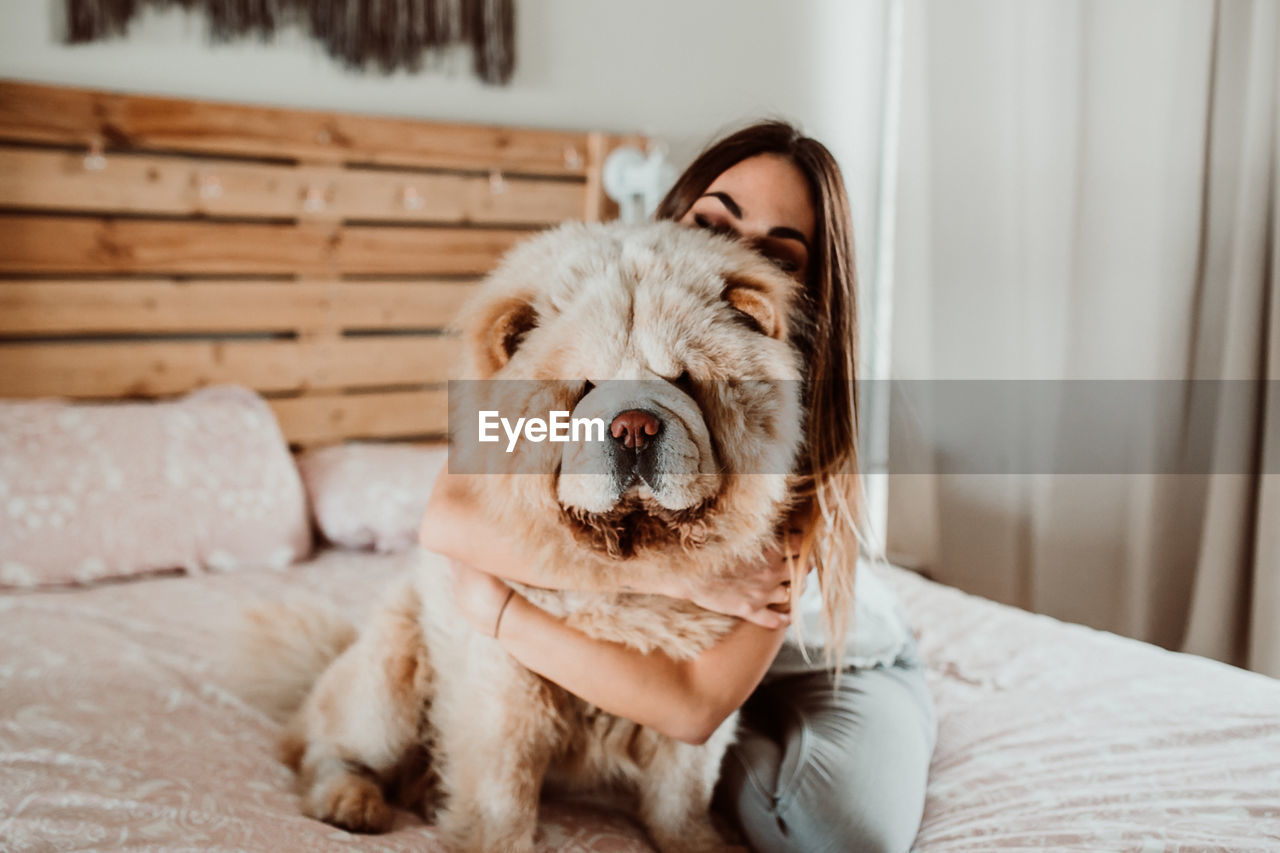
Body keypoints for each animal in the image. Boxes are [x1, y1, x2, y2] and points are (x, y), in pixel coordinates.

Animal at [245, 220, 803, 850]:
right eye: (585, 385)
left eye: (683, 380)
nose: (635, 427)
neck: (624, 573)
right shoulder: (505, 685)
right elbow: (503, 793)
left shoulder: (697, 694)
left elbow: (681, 795)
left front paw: (701, 842)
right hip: (390, 680)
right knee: (326, 748)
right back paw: (350, 802)